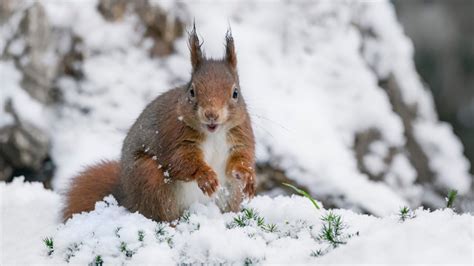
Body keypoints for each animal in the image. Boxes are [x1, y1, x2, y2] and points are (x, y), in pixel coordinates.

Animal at [63, 27, 258, 222]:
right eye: (192, 91)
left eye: (235, 93)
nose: (211, 114)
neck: (214, 133)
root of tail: (127, 197)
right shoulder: (175, 137)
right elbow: (181, 161)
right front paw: (206, 176)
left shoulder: (240, 136)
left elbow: (242, 158)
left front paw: (247, 176)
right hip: (149, 177)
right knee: (158, 213)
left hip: (231, 193)